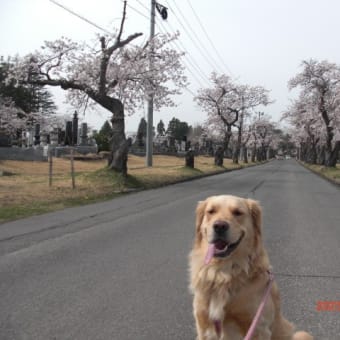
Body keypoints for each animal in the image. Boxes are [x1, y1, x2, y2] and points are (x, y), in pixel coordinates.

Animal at [189, 194, 314, 340]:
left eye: (238, 212)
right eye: (211, 211)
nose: (219, 226)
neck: (223, 272)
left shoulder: (258, 327)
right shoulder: (203, 326)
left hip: (298, 334)